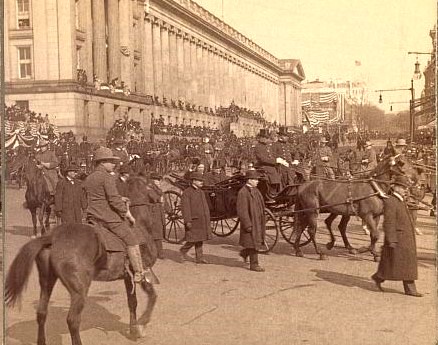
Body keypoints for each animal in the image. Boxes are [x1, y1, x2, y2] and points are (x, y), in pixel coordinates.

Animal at [5, 175, 159, 344]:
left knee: (41, 313)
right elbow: (152, 297)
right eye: (152, 185)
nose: (162, 196)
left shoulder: (127, 276)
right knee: (72, 320)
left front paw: (133, 330)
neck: (140, 226)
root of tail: (52, 237)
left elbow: (132, 302)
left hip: (47, 281)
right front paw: (141, 325)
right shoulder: (142, 272)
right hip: (79, 290)